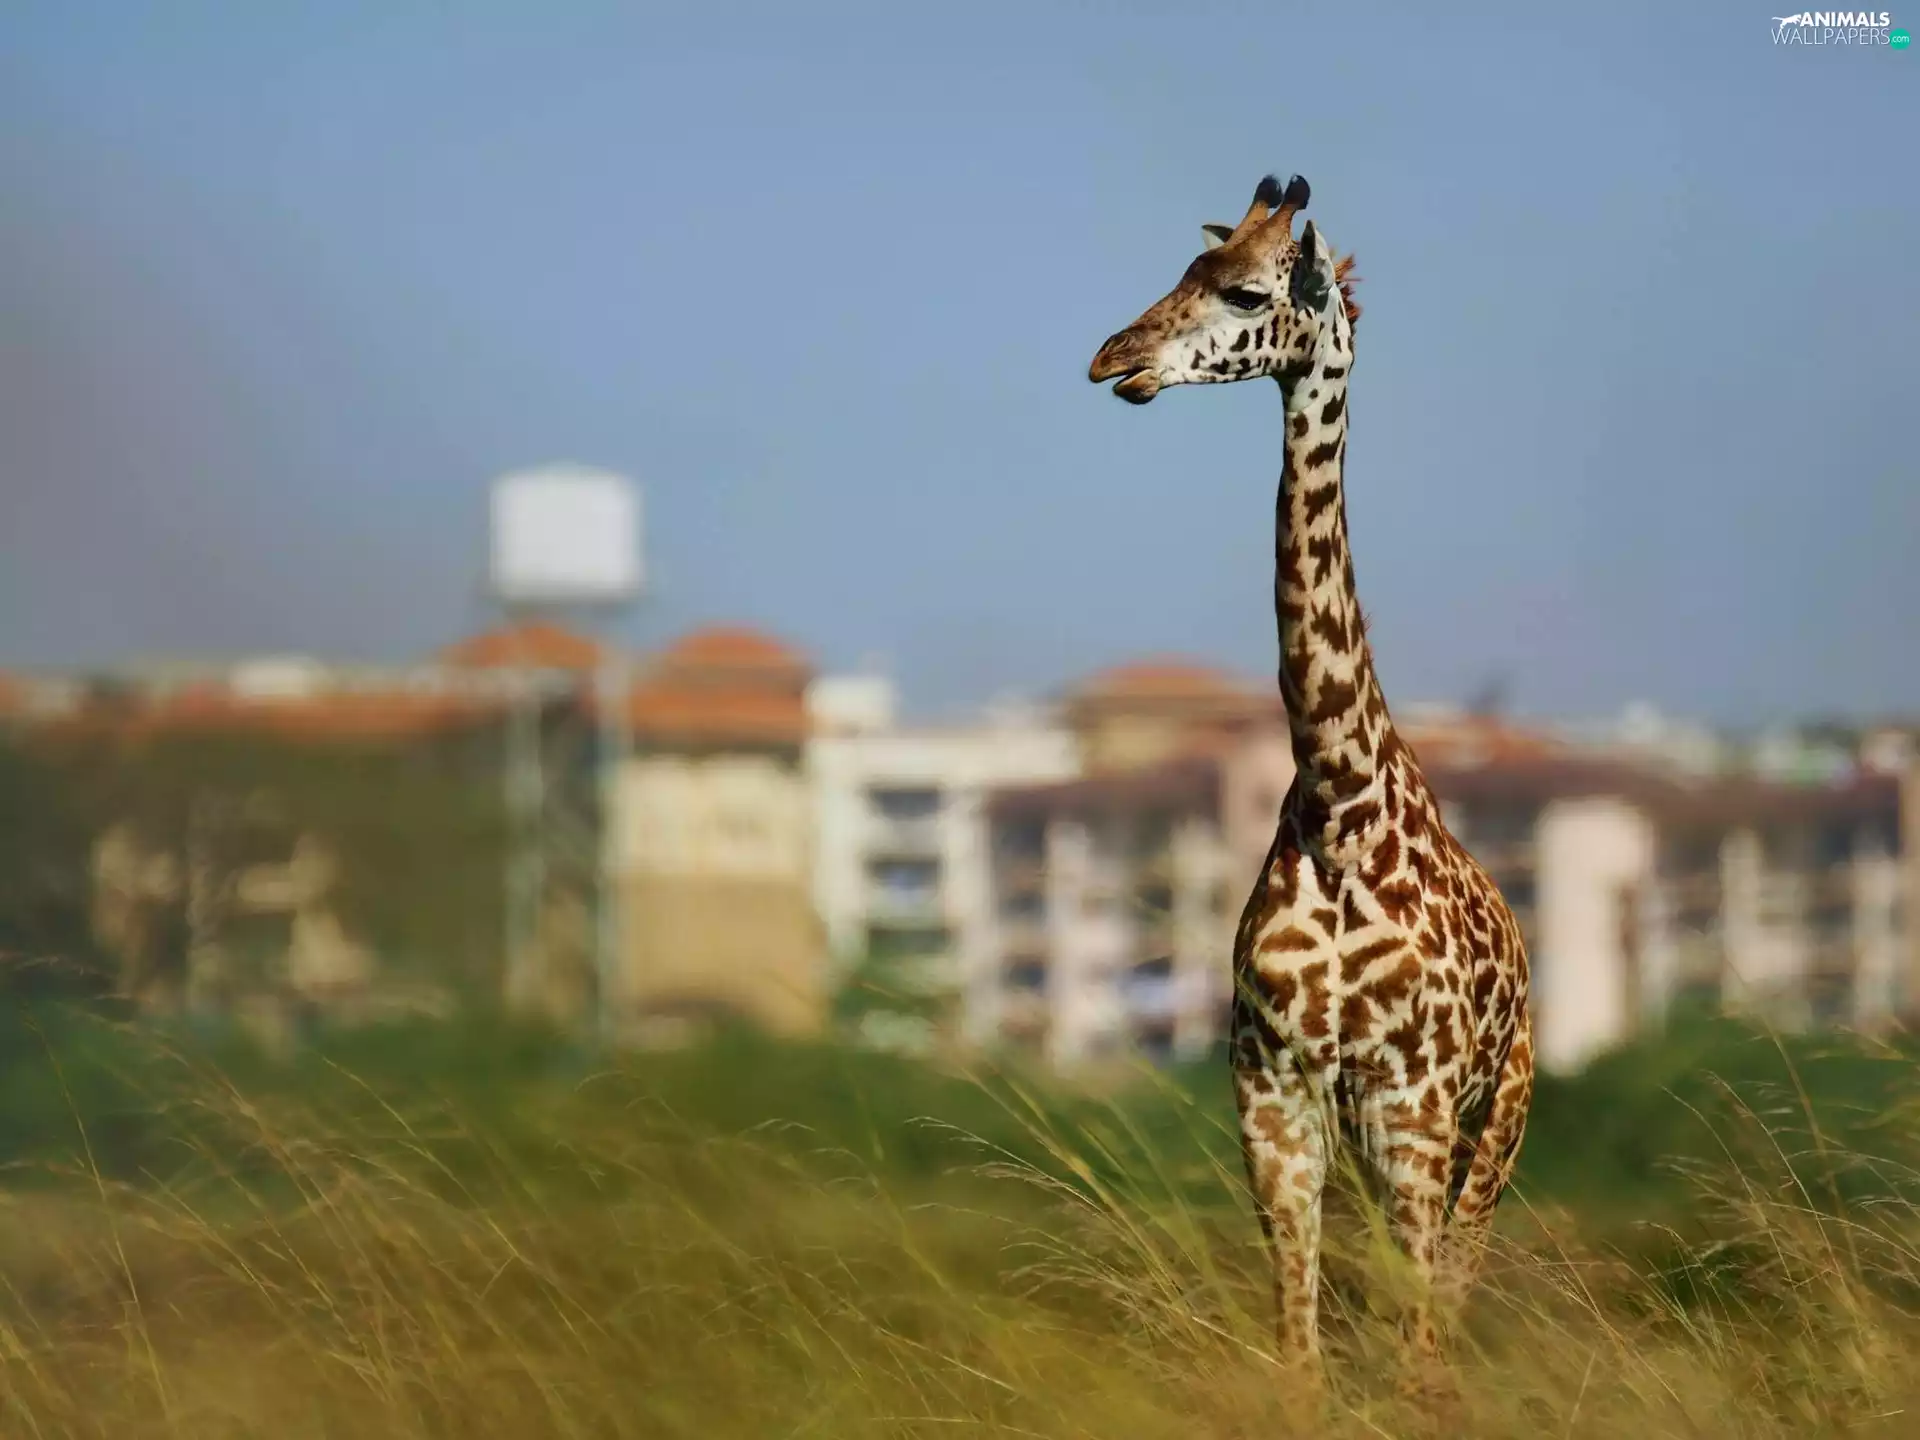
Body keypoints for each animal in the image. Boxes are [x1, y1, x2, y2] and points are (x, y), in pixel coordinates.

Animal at [1087, 174, 1534, 1386]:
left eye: (1246, 291)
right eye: (1184, 271)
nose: (1111, 358)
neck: (1340, 804)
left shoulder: (1409, 1109)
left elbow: (1417, 1351)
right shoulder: (1274, 1103)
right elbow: (1301, 1358)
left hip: (1493, 1128)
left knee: (1448, 1310)